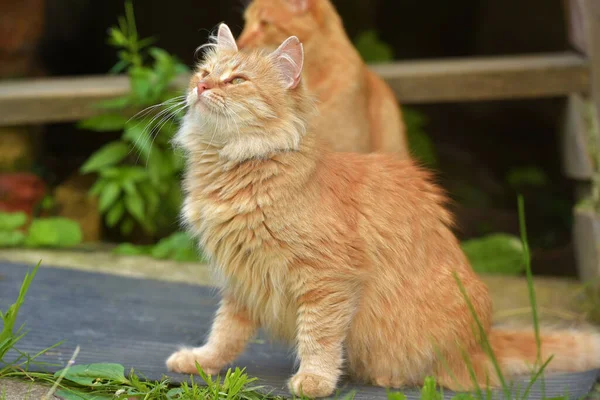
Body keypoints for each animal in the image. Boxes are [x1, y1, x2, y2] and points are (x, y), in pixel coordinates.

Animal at [166, 24, 600, 396]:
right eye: (204, 71)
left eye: (237, 80)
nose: (201, 85)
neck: (238, 165)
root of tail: (485, 339)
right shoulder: (243, 281)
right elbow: (224, 333)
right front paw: (201, 361)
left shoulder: (327, 279)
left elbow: (318, 338)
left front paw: (315, 380)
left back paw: (388, 376)